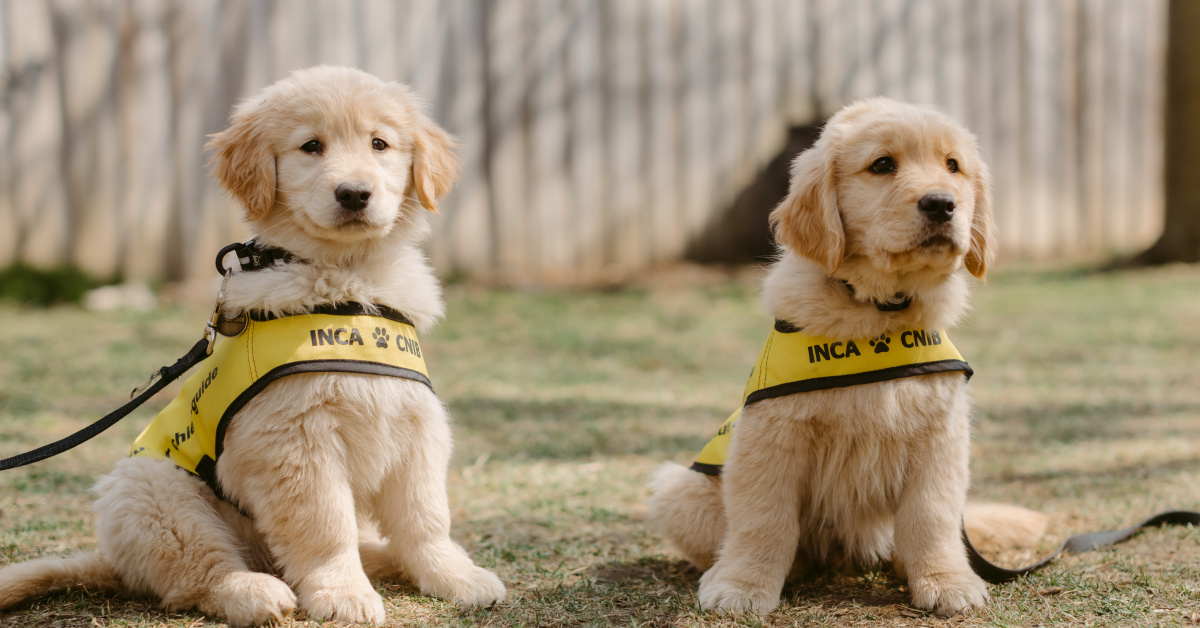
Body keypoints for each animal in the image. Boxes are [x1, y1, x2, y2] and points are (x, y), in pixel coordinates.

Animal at [0, 66, 504, 624]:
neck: (346, 282)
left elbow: (426, 516)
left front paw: (453, 576)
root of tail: (115, 564)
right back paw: (253, 590)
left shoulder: (416, 425)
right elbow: (326, 528)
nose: (354, 194)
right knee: (200, 574)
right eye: (311, 146)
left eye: (380, 144)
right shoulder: (295, 439)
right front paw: (343, 594)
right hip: (151, 488)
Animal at [643, 100, 1046, 614]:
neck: (876, 311)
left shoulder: (941, 436)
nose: (941, 203)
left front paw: (945, 581)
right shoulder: (773, 435)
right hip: (680, 491)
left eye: (953, 166)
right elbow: (763, 519)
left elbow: (931, 515)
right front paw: (743, 585)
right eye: (882, 165)